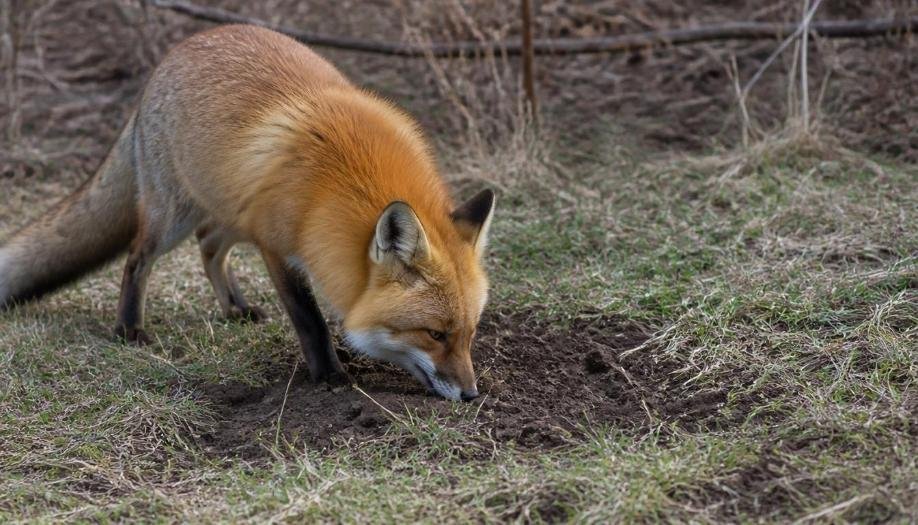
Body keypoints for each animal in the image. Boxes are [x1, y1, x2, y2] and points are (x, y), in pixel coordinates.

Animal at [0, 25, 495, 401]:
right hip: (174, 216)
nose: (471, 395)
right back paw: (129, 328)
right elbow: (309, 320)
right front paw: (330, 376)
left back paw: (234, 308)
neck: (342, 179)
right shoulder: (277, 246)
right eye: (435, 334)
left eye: (470, 334)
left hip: (233, 210)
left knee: (208, 246)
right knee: (138, 258)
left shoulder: (269, 230)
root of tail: (176, 52)